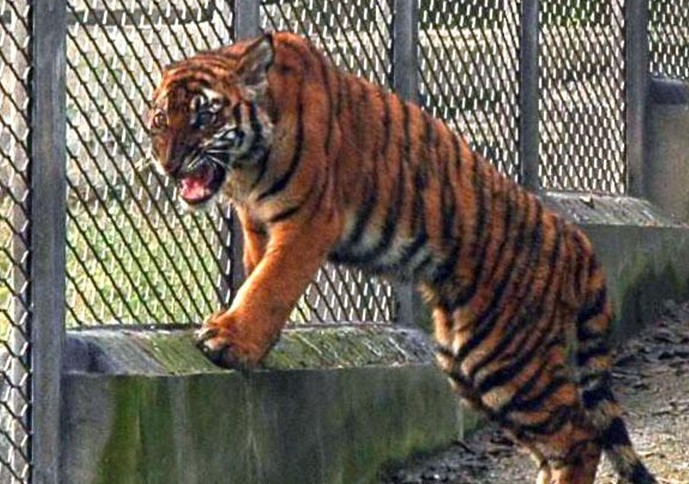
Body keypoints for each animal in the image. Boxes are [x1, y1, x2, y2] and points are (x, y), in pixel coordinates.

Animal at [147, 32, 656, 484]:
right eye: (159, 120)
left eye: (204, 117)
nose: (168, 165)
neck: (248, 165)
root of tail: (575, 239)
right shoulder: (257, 223)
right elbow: (254, 277)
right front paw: (249, 339)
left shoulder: (310, 219)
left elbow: (271, 284)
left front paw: (228, 341)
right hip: (469, 361)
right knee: (556, 447)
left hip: (507, 357)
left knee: (580, 438)